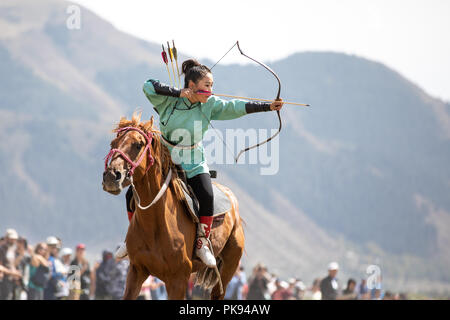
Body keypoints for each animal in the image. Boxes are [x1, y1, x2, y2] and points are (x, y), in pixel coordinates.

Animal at [101, 113, 244, 300]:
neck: (155, 224)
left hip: (229, 266)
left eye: (138, 145)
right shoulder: (136, 271)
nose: (111, 176)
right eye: (113, 144)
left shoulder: (178, 280)